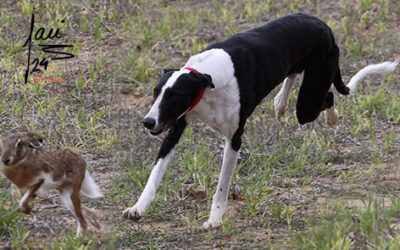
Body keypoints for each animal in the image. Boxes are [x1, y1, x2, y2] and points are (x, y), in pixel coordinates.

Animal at [123, 13, 398, 229]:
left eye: (175, 96)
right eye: (156, 92)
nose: (147, 122)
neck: (206, 79)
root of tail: (324, 25)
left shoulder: (234, 139)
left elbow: (222, 185)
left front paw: (215, 219)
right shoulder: (175, 127)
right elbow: (155, 174)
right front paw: (139, 207)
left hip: (308, 104)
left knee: (328, 96)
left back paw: (331, 116)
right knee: (294, 74)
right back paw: (281, 101)